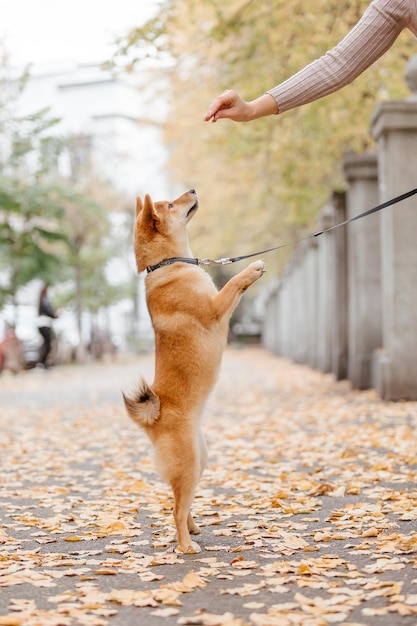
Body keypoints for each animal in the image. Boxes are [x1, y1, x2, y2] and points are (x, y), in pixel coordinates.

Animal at [122, 186, 264, 552]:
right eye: (171, 205)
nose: (193, 189)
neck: (166, 266)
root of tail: (153, 418)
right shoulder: (215, 307)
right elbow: (234, 285)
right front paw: (251, 268)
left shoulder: (222, 308)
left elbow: (235, 291)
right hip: (189, 465)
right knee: (175, 508)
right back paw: (185, 545)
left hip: (201, 461)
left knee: (182, 504)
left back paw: (193, 527)